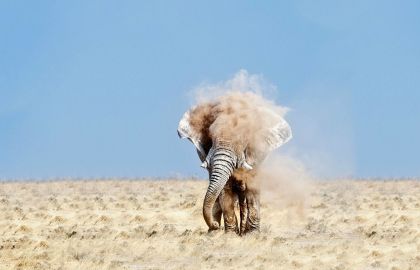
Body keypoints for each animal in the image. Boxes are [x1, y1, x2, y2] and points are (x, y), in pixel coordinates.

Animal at [177, 91, 292, 234]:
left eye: (244, 139)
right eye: (211, 137)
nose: (215, 224)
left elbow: (252, 187)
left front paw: (252, 234)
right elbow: (225, 190)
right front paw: (230, 234)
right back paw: (213, 233)